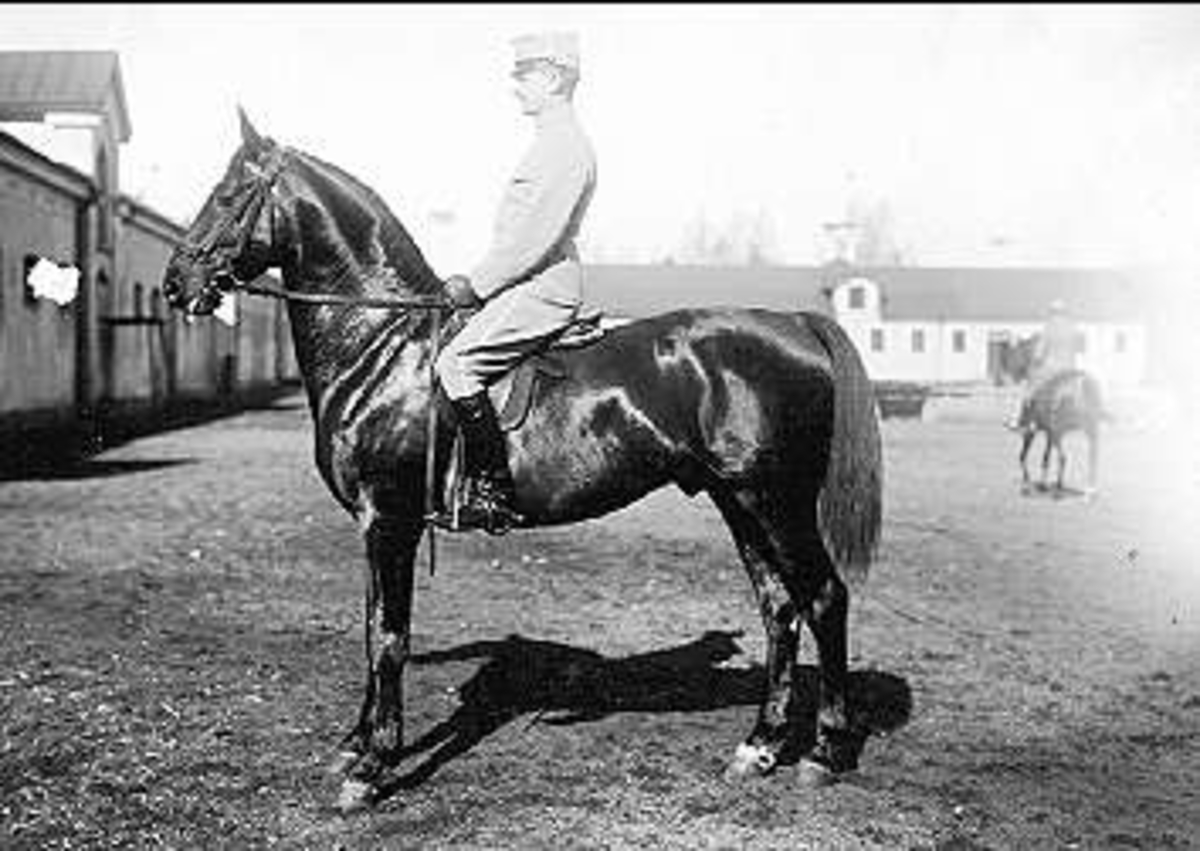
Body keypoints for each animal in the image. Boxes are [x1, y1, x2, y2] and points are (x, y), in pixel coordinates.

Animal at [162, 110, 883, 813]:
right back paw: (759, 747)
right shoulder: (375, 525)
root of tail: (795, 322)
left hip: (777, 502)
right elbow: (372, 628)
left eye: (226, 195)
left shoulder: (389, 519)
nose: (176, 285)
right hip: (738, 503)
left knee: (824, 598)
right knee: (779, 608)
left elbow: (390, 637)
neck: (386, 347)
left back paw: (822, 753)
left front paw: (371, 768)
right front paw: (354, 745)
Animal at [1016, 368, 1106, 497]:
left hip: (1074, 430)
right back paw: (1089, 490)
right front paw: (1043, 484)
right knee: (1092, 457)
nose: (1026, 430)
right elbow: (1046, 457)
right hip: (1091, 429)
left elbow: (1052, 458)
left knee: (1064, 457)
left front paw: (1043, 485)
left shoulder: (1054, 431)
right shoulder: (1052, 433)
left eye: (1025, 434)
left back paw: (1059, 489)